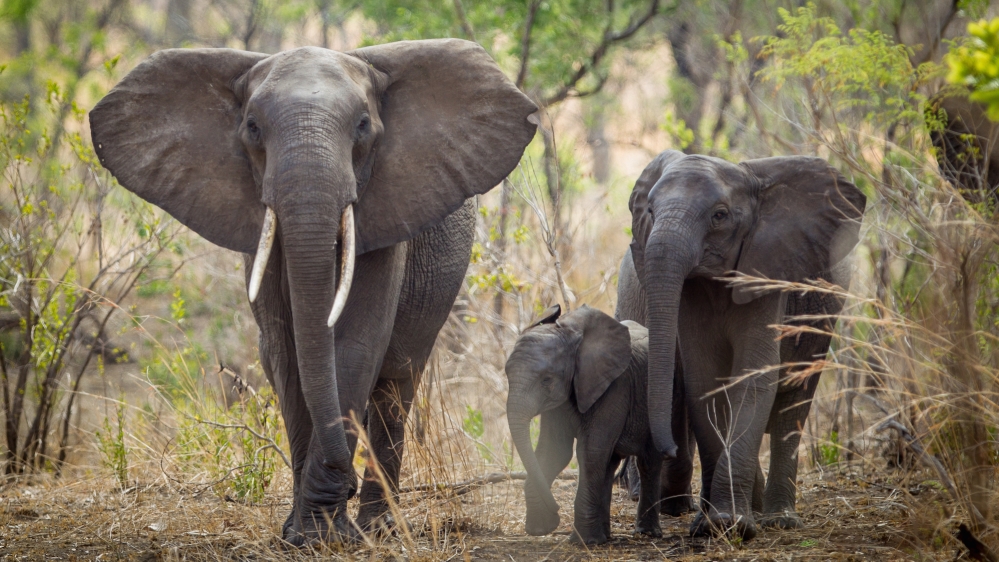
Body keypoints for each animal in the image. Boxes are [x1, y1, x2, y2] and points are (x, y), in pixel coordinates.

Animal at [89, 39, 537, 544]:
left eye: (362, 126)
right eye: (252, 127)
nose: (345, 483)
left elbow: (357, 346)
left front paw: (323, 533)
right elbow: (286, 354)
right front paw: (301, 533)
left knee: (397, 382)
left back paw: (379, 528)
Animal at [504, 304, 688, 545]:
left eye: (546, 380)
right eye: (507, 374)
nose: (556, 510)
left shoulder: (616, 387)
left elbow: (590, 452)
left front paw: (582, 543)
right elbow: (554, 451)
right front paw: (541, 528)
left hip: (667, 401)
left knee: (648, 462)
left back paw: (646, 533)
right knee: (609, 464)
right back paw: (605, 537)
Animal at [617, 150, 866, 539]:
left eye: (719, 216)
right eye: (650, 212)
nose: (667, 449)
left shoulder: (769, 270)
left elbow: (753, 377)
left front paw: (728, 524)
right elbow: (705, 381)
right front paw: (711, 525)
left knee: (795, 400)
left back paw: (779, 519)